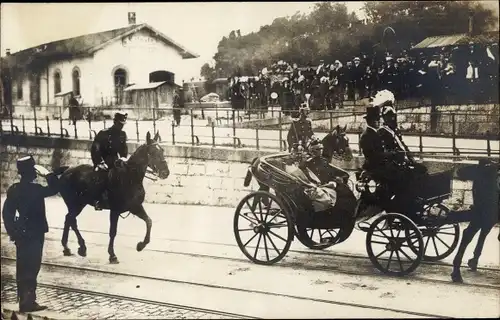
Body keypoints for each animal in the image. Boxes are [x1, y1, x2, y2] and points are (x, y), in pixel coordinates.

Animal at [57, 131, 170, 264]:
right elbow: (113, 232)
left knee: (68, 219)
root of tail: (65, 172)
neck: (130, 178)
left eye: (162, 150)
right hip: (75, 204)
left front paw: (141, 245)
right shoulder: (115, 211)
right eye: (152, 152)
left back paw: (67, 248)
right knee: (72, 221)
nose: (165, 173)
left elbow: (149, 222)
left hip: (79, 204)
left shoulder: (135, 207)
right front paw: (112, 255)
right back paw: (82, 247)